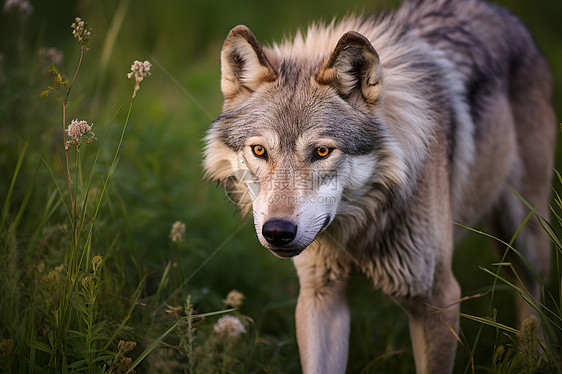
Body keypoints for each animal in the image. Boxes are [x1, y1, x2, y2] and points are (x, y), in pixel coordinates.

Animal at [200, 0, 552, 372]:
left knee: (531, 295)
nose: (277, 232)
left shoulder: (439, 298)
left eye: (322, 151)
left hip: (526, 239)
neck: (359, 227)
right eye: (259, 151)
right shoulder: (321, 297)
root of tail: (500, 12)